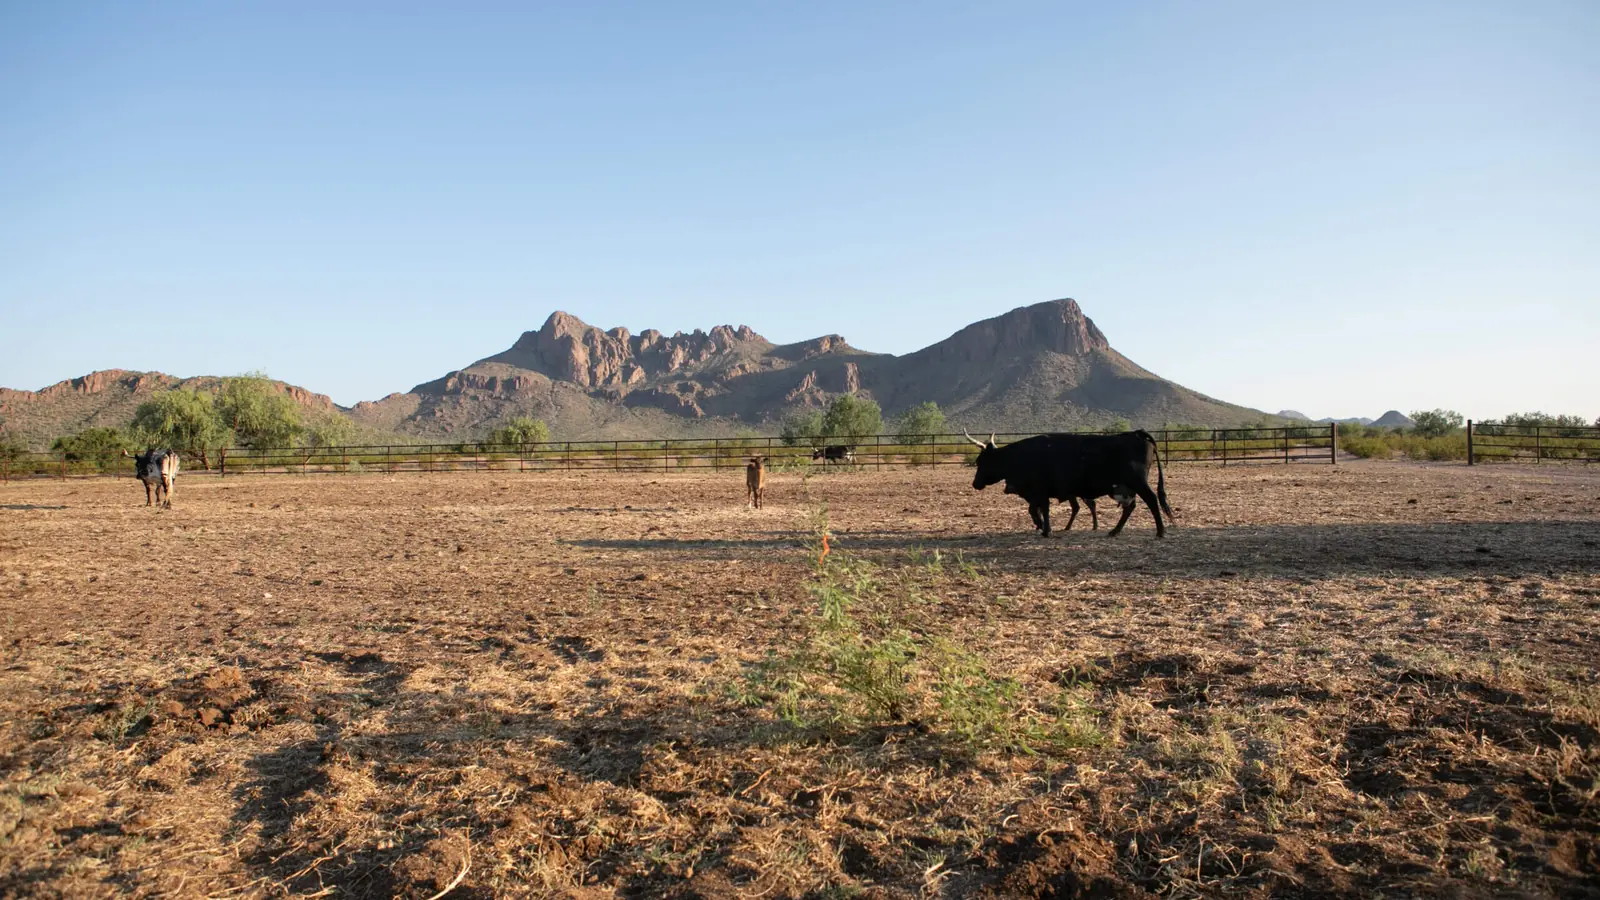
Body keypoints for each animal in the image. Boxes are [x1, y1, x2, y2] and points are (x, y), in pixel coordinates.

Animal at [966, 431, 1172, 538]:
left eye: (981, 461)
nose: (975, 483)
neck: (1021, 456)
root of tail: (1136, 434)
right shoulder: (1037, 494)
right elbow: (1037, 510)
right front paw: (1042, 527)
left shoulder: (1039, 491)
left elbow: (1043, 509)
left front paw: (1046, 530)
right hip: (1126, 487)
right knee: (1130, 507)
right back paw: (1114, 531)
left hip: (1138, 482)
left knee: (1152, 500)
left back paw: (1160, 531)